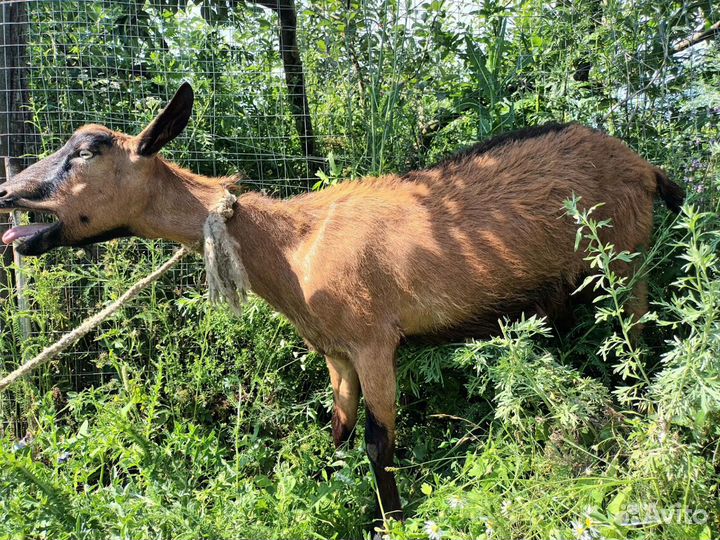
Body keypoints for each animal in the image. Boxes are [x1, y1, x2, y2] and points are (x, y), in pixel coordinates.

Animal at [0, 83, 684, 524]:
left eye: (87, 152)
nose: (10, 193)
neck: (292, 242)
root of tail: (648, 169)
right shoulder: (335, 353)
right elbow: (340, 430)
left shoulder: (373, 341)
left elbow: (380, 442)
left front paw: (390, 521)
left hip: (626, 265)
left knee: (639, 343)